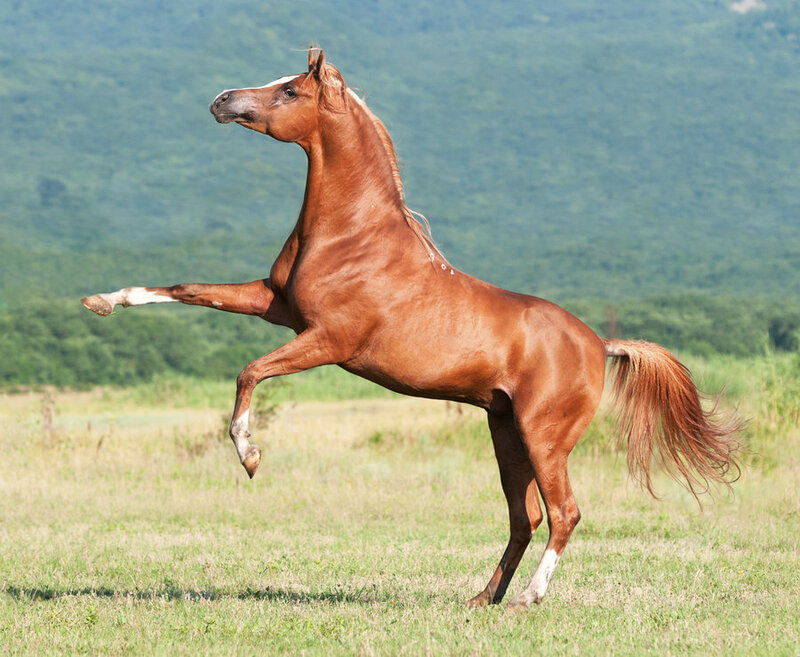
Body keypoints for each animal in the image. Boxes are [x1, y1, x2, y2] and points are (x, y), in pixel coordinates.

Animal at [81, 49, 741, 609]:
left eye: (289, 89)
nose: (221, 100)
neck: (353, 237)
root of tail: (600, 344)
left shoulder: (327, 340)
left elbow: (250, 372)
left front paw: (250, 456)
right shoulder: (274, 305)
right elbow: (187, 289)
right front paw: (102, 301)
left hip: (543, 436)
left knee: (564, 512)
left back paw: (527, 598)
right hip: (506, 433)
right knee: (524, 517)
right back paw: (481, 599)